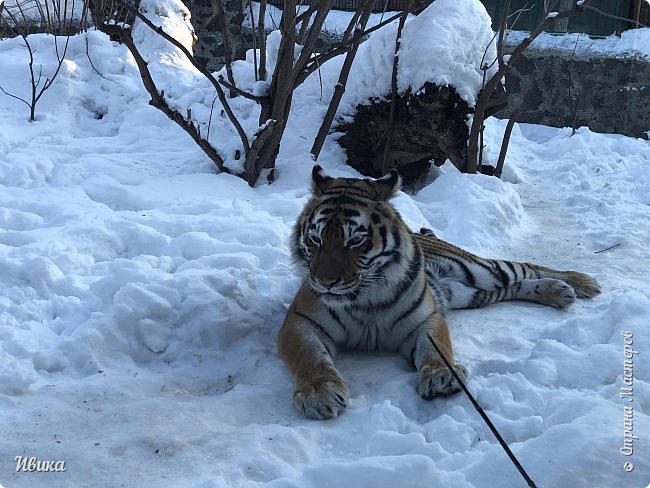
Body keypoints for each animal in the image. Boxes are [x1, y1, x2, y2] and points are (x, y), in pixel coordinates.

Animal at [278, 167, 596, 420]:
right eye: (316, 239)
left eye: (355, 240)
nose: (325, 282)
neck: (364, 297)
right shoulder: (300, 322)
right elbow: (310, 357)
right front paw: (320, 393)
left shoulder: (425, 320)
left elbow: (437, 350)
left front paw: (442, 377)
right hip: (475, 293)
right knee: (512, 286)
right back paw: (560, 292)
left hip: (483, 270)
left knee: (526, 267)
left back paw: (581, 282)